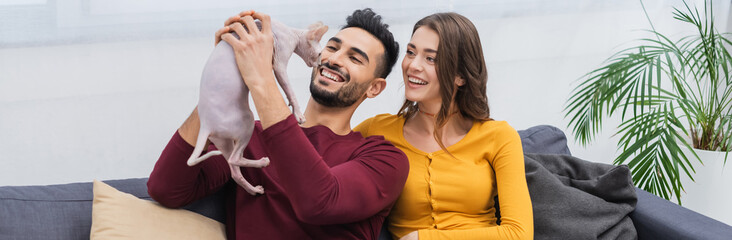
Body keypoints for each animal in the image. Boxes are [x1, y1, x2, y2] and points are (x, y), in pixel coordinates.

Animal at [186, 19, 328, 195]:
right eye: (320, 53)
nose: (320, 65)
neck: (293, 33)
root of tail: (206, 125)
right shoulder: (279, 63)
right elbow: (290, 89)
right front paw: (298, 114)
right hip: (246, 121)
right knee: (234, 159)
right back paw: (262, 163)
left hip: (223, 140)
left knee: (234, 168)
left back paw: (254, 189)